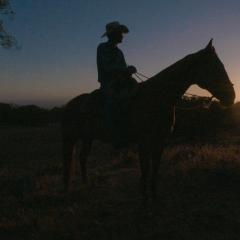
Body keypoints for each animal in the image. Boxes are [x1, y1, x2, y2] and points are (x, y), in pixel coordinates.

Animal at [61, 40, 234, 200]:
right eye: (214, 67)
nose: (231, 96)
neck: (156, 98)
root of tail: (69, 105)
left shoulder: (160, 141)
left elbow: (155, 168)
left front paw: (154, 194)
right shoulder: (144, 141)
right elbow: (145, 169)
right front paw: (144, 196)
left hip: (87, 138)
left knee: (82, 158)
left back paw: (85, 184)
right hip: (70, 138)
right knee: (68, 161)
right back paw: (67, 189)